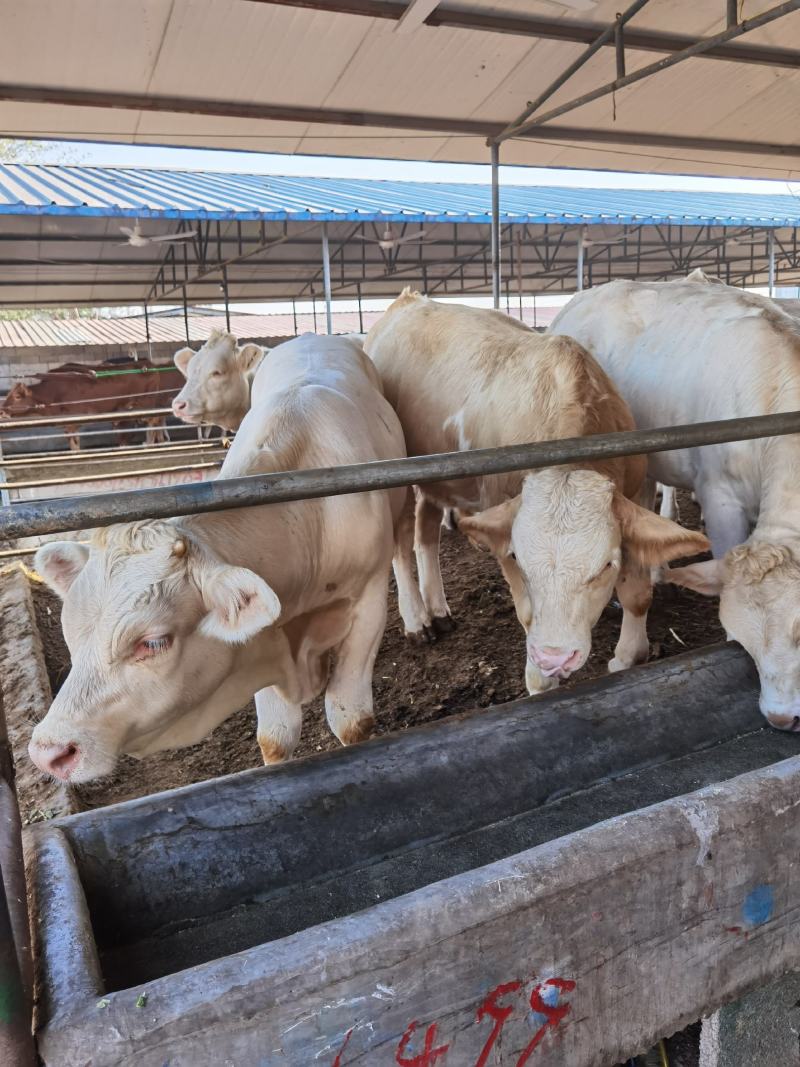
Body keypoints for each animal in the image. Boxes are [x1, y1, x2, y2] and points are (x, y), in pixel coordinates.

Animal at [0, 358, 183, 450]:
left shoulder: (71, 422)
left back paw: (151, 444)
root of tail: (147, 364)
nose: (2, 411)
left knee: (153, 422)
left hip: (146, 403)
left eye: (17, 396)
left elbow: (75, 447)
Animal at [28, 335, 407, 785]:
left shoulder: (368, 602)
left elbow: (351, 720)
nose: (49, 751)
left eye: (153, 642)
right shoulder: (261, 640)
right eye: (70, 630)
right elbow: (275, 736)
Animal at [364, 290, 708, 691]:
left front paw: (626, 657)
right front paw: (539, 678)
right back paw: (417, 619)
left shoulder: (636, 497)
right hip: (395, 475)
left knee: (426, 528)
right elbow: (527, 613)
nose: (555, 657)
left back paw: (437, 607)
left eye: (606, 565)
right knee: (401, 543)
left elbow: (638, 595)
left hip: (437, 477)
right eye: (518, 560)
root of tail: (408, 299)